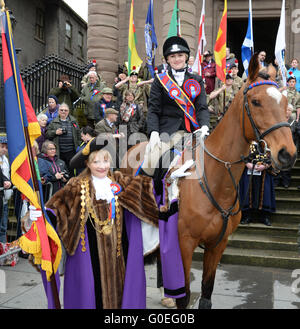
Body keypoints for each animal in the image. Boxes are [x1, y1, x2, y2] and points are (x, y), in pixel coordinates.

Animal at [119, 53, 296, 308]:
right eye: (255, 102)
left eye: (284, 103)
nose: (287, 154)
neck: (216, 179)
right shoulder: (184, 244)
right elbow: (184, 296)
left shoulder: (217, 246)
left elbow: (206, 293)